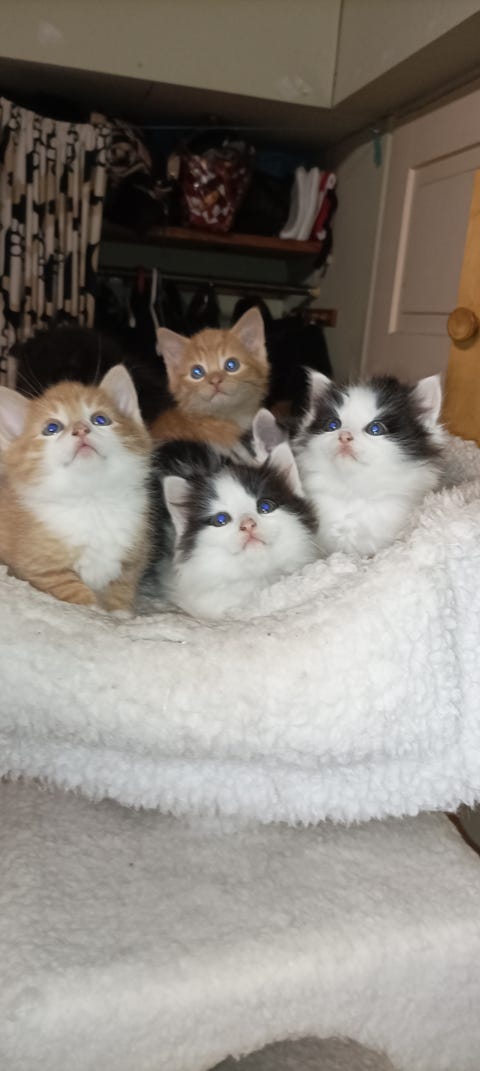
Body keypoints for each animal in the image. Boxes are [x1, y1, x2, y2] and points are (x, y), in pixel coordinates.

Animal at [0, 366, 151, 610]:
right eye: (51, 428)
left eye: (100, 419)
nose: (80, 429)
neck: (91, 500)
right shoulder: (41, 569)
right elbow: (73, 593)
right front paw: (93, 610)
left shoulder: (132, 560)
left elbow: (121, 589)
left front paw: (118, 612)